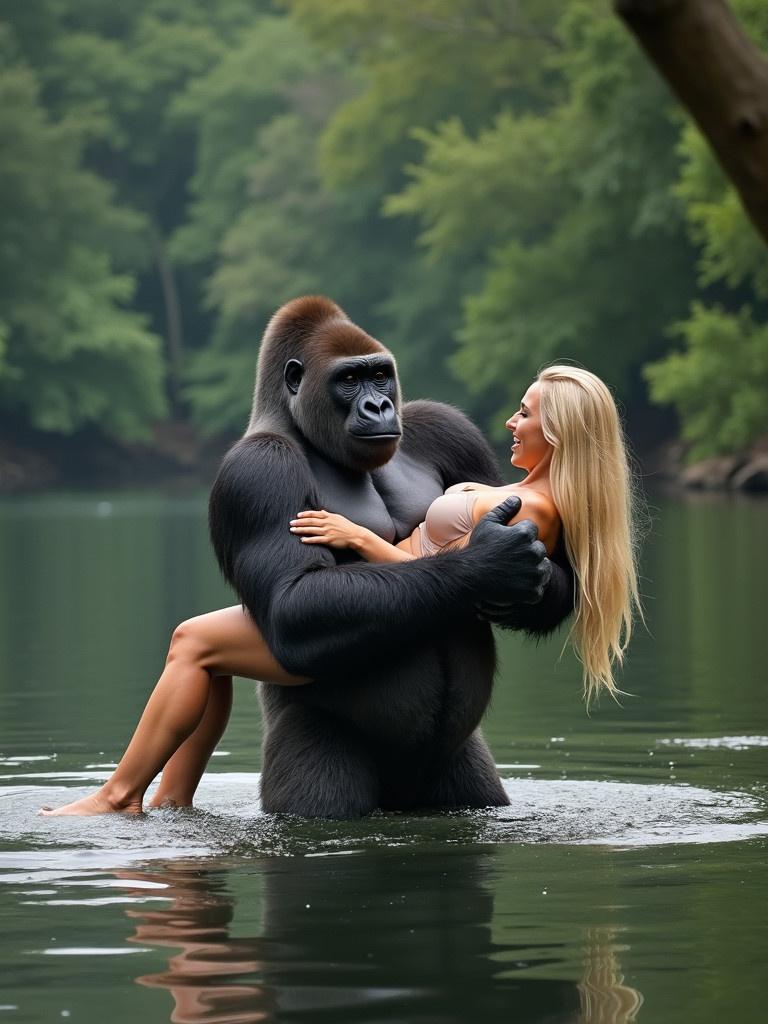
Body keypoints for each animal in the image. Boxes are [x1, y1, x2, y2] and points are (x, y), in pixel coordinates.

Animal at [207, 296, 573, 815]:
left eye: (380, 375)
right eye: (348, 379)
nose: (378, 405)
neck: (297, 427)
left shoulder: (446, 428)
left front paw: (522, 573)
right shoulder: (257, 471)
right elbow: (292, 605)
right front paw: (487, 565)